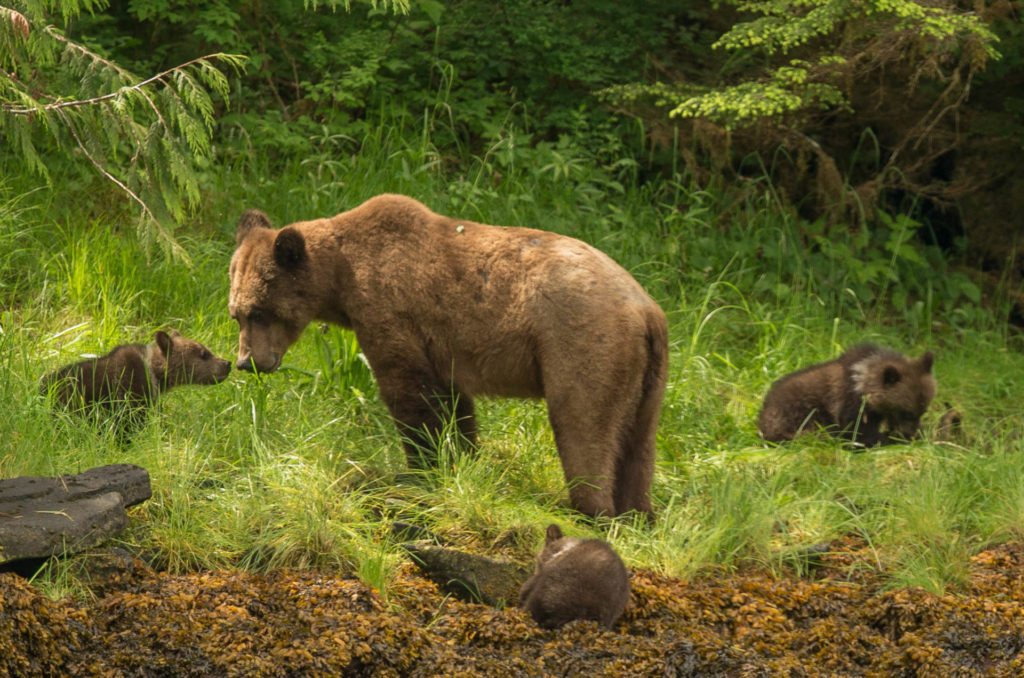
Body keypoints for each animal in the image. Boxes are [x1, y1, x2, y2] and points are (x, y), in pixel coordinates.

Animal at [228, 194, 668, 518]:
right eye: (236, 314)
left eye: (259, 311)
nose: (249, 362)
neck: (341, 278)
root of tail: (646, 310)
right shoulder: (443, 348)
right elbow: (455, 404)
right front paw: (461, 462)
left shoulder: (391, 310)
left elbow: (409, 392)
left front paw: (420, 468)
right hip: (648, 375)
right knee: (639, 443)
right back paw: (637, 513)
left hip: (583, 342)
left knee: (582, 423)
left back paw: (590, 510)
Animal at [757, 343, 936, 446]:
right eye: (907, 413)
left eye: (923, 411)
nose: (910, 435)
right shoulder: (851, 404)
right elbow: (858, 432)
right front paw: (887, 438)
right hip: (797, 415)